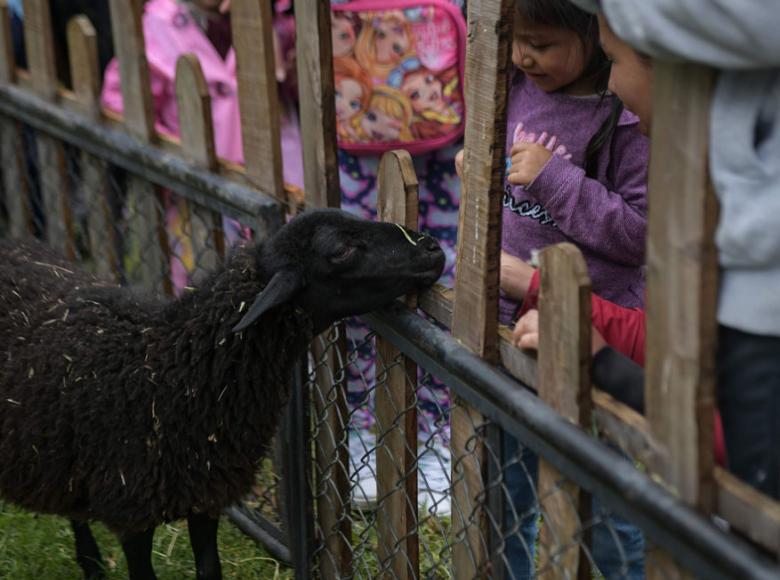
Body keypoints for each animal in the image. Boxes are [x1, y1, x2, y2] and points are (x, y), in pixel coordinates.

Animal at [0, 208, 444, 580]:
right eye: (340, 250)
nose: (432, 248)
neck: (172, 367)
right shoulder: (132, 512)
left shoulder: (206, 491)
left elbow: (209, 569)